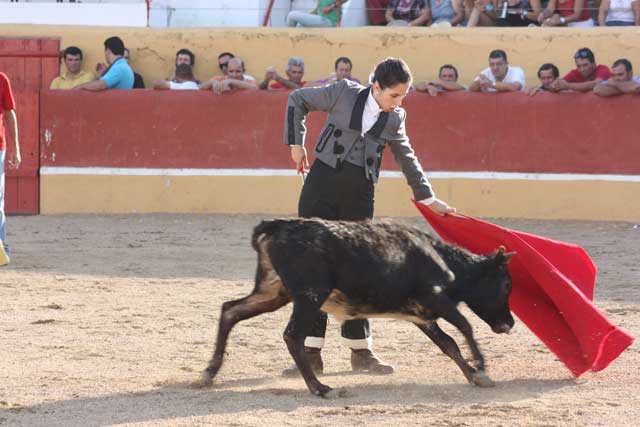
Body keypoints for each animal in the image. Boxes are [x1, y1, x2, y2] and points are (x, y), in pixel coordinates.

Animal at [204, 219, 516, 400]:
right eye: (505, 284)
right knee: (293, 336)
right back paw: (319, 387)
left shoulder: (422, 316)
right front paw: (481, 368)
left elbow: (448, 343)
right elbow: (465, 326)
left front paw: (473, 375)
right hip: (309, 296)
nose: (510, 324)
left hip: (273, 291)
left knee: (230, 310)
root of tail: (276, 226)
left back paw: (208, 374)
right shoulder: (436, 299)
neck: (443, 260)